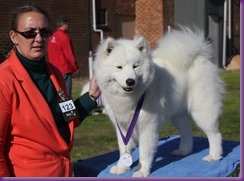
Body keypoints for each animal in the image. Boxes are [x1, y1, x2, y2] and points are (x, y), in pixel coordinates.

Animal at [92, 26, 224, 177]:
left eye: (135, 66)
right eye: (119, 67)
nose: (130, 81)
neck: (130, 97)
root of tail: (199, 57)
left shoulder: (147, 126)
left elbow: (144, 152)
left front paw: (141, 171)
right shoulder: (122, 126)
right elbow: (123, 149)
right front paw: (121, 168)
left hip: (202, 111)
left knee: (215, 134)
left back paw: (214, 156)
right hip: (178, 115)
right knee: (187, 133)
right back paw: (183, 151)